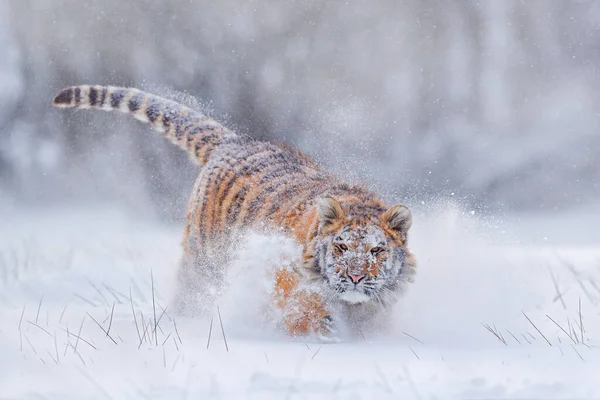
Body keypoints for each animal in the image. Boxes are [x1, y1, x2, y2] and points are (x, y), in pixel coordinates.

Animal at [52, 84, 418, 338]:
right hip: (203, 262)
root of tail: (234, 140)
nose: (355, 276)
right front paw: (319, 331)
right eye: (341, 246)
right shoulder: (279, 274)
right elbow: (302, 306)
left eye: (376, 250)